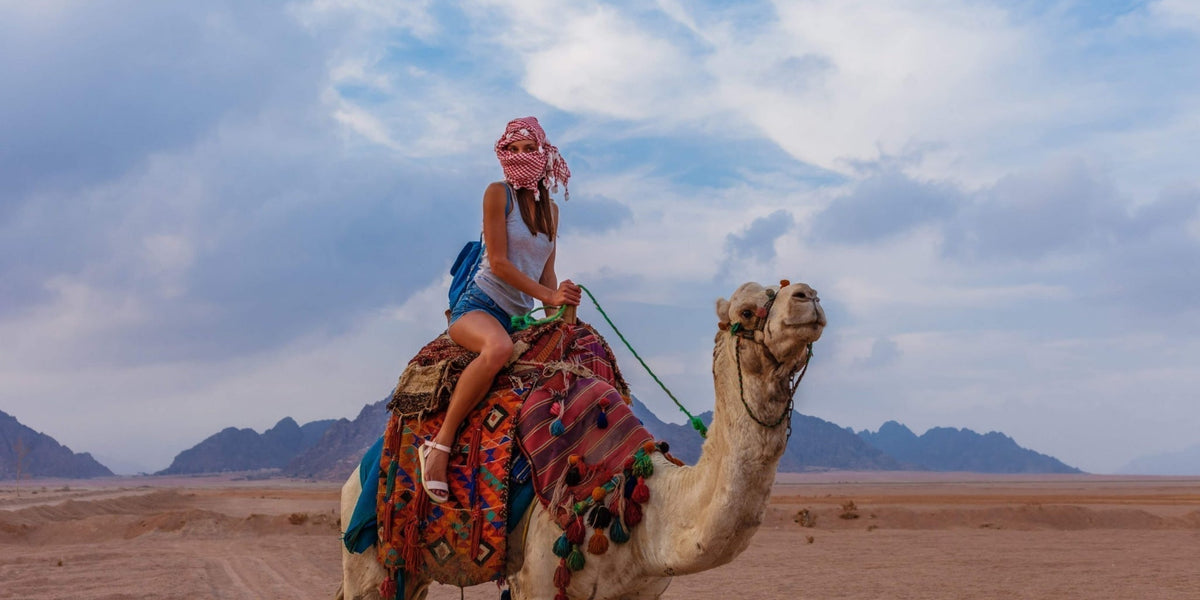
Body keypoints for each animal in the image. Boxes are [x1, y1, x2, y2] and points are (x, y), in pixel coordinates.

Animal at [338, 281, 826, 600]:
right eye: (745, 311)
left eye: (782, 288)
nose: (809, 295)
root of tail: (355, 475)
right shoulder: (537, 581)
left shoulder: (639, 594)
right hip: (367, 560)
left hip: (410, 571)